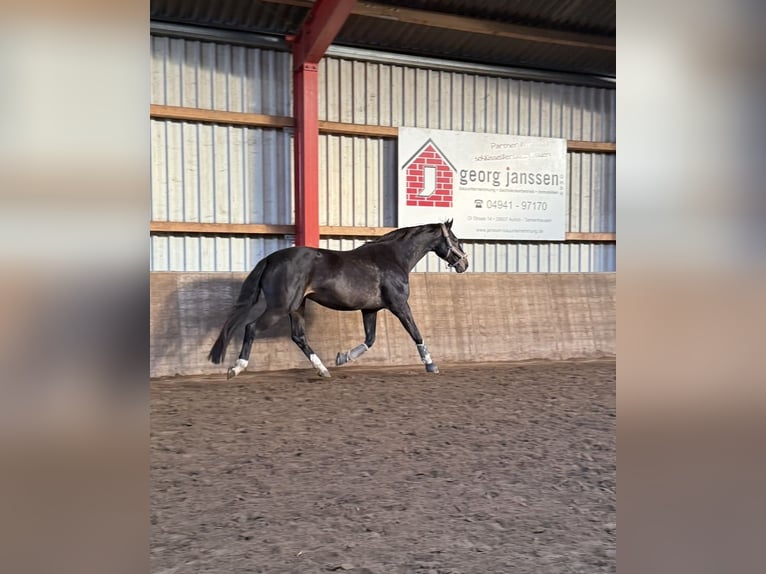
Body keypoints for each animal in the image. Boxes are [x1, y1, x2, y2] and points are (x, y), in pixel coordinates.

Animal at [208, 220, 469, 379]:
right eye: (456, 239)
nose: (464, 264)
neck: (392, 258)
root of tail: (271, 259)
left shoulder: (370, 310)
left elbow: (370, 340)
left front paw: (342, 357)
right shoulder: (399, 305)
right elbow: (415, 332)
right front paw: (431, 364)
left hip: (297, 306)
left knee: (298, 337)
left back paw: (323, 369)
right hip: (279, 307)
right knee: (251, 327)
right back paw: (236, 368)